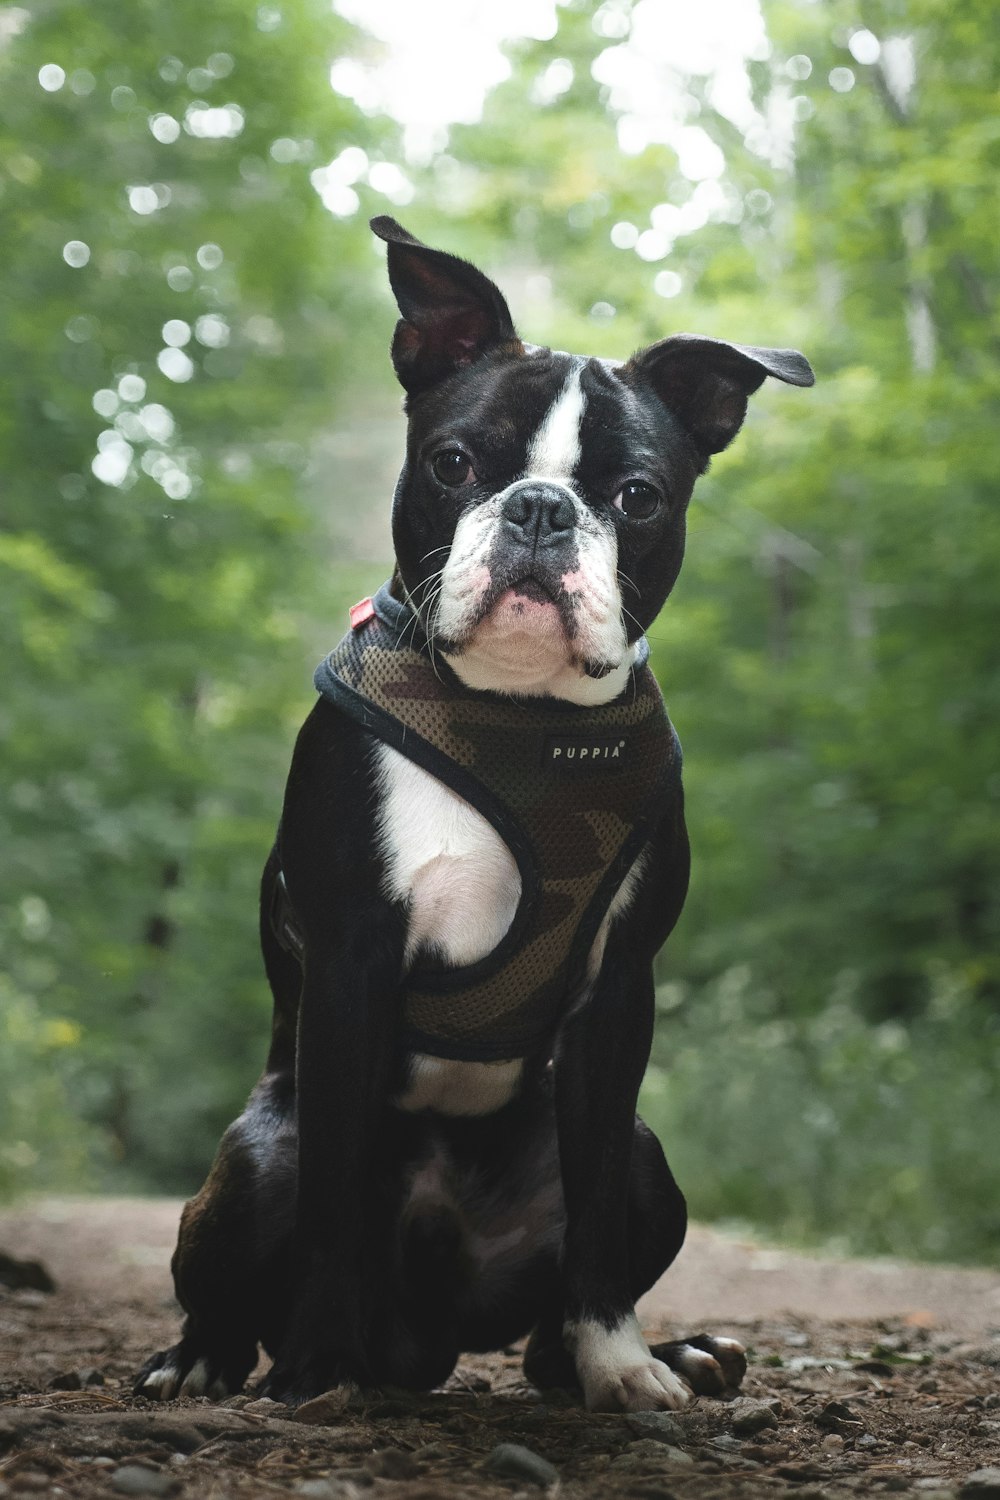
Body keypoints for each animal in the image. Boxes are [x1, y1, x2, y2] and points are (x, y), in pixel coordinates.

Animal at [134, 217, 815, 1410]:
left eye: (637, 496)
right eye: (455, 464)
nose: (540, 509)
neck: (518, 714)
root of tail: (431, 1335)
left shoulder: (618, 990)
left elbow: (596, 1213)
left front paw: (620, 1364)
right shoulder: (353, 963)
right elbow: (334, 1200)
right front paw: (317, 1369)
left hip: (651, 1163)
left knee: (558, 1300)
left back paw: (661, 1353)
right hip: (258, 1152)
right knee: (240, 1270)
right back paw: (210, 1360)